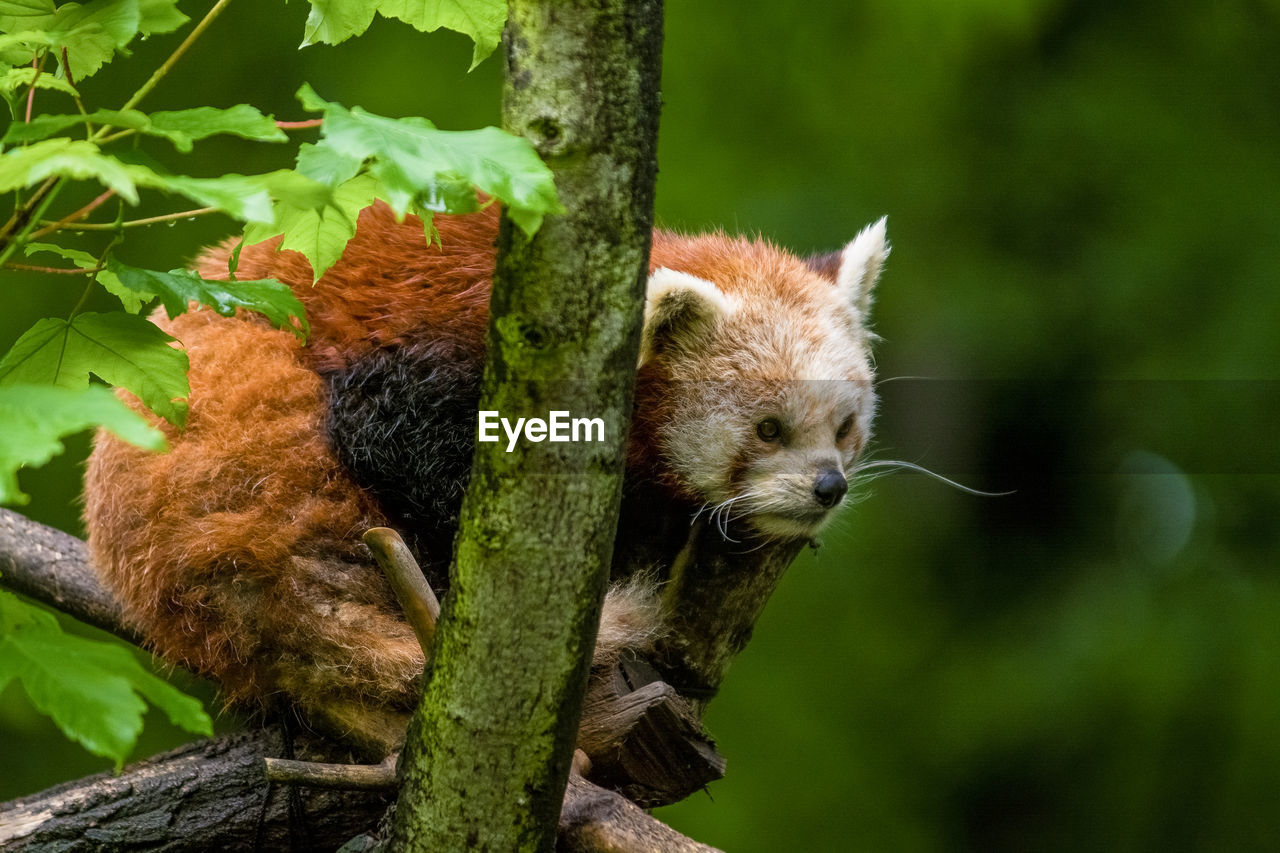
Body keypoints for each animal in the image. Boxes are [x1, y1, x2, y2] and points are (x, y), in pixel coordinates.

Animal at [77, 202, 880, 753]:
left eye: (844, 428)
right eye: (768, 428)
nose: (827, 488)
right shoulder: (439, 355)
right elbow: (408, 448)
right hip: (242, 439)